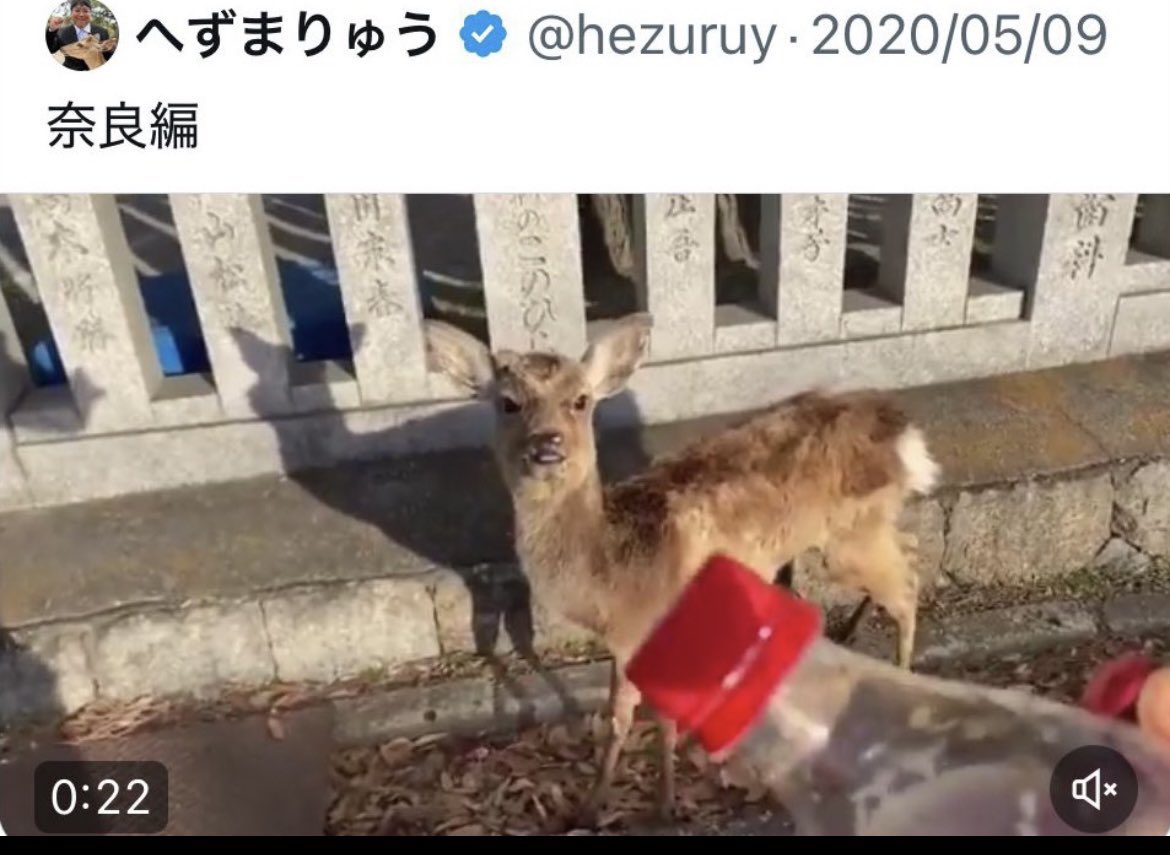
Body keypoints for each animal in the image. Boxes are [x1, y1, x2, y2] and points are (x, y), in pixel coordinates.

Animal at [422, 311, 939, 827]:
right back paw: (851, 631)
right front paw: (590, 806)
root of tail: (904, 430)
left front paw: (665, 807)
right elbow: (618, 713)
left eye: (580, 400)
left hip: (851, 536)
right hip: (865, 527)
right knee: (909, 551)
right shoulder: (624, 641)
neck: (609, 576)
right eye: (508, 402)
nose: (547, 444)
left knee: (907, 585)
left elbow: (659, 715)